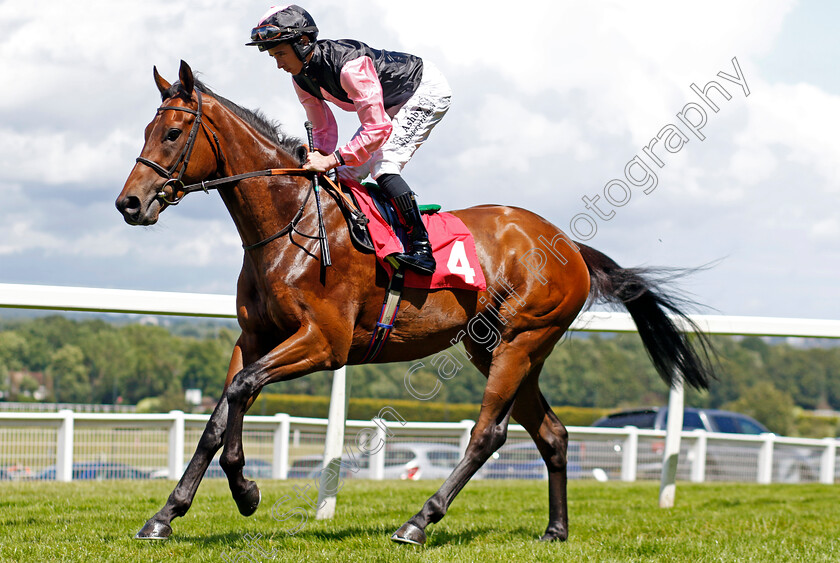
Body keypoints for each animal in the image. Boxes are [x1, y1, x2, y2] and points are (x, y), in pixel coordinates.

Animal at [115, 61, 712, 548]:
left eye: (172, 133)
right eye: (147, 130)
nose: (129, 203)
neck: (290, 226)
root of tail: (568, 244)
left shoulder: (324, 343)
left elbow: (240, 392)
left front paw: (243, 490)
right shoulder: (255, 338)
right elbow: (220, 415)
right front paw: (168, 515)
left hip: (519, 341)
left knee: (488, 433)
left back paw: (417, 523)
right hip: (498, 348)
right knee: (552, 435)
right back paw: (555, 530)